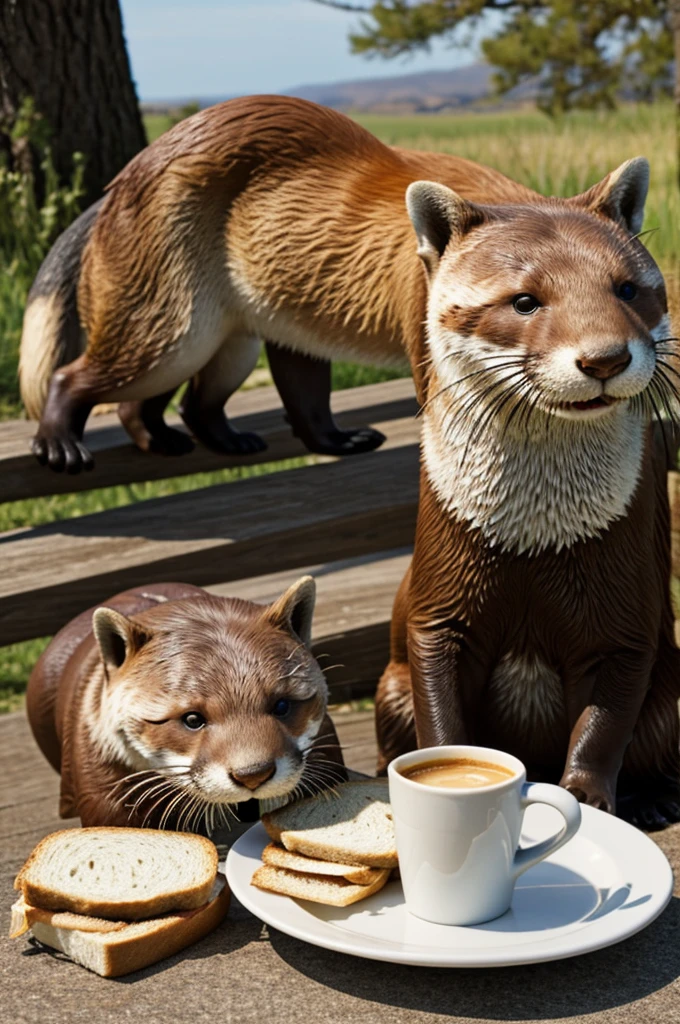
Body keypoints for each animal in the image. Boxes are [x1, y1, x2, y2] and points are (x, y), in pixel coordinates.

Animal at [372, 176, 680, 831]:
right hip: (389, 689)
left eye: (627, 288)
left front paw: (589, 799)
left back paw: (655, 799)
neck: (536, 538)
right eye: (523, 301)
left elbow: (605, 725)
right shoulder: (439, 610)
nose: (605, 357)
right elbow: (441, 717)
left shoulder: (626, 621)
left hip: (677, 691)